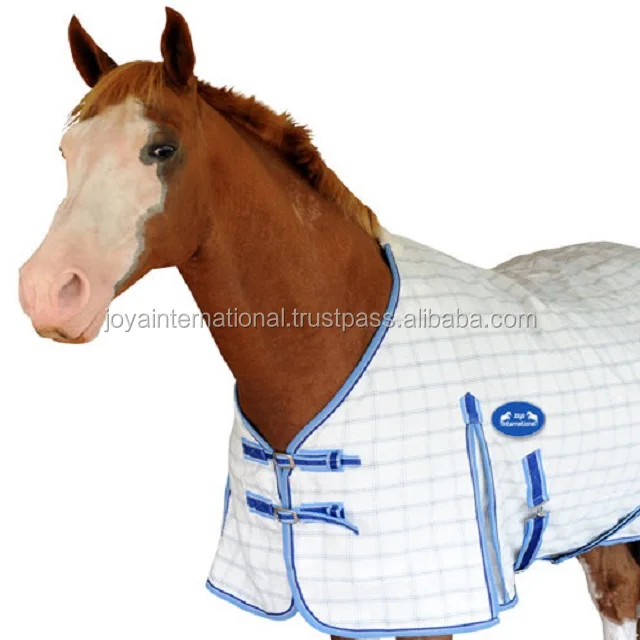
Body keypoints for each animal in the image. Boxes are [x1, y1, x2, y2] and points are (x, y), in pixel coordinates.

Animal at [18, 8, 640, 640]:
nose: (47, 290)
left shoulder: (429, 606)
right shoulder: (344, 602)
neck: (332, 343)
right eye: (67, 149)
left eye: (162, 149)